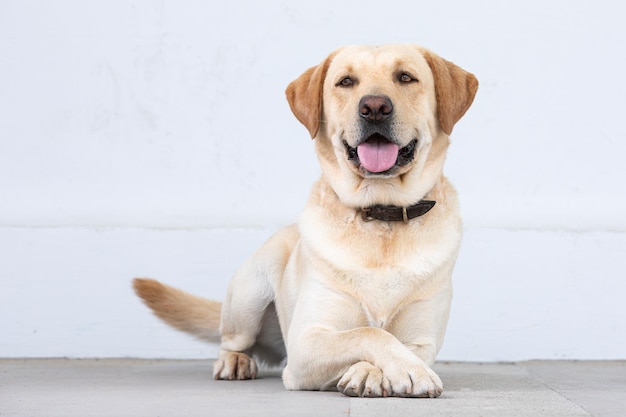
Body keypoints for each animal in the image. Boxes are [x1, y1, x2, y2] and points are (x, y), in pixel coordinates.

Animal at [134, 44, 476, 398]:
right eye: (346, 81)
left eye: (405, 77)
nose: (374, 107)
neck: (381, 215)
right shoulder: (305, 343)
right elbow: (369, 333)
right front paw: (403, 371)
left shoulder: (423, 341)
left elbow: (392, 341)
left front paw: (373, 372)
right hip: (249, 293)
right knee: (232, 340)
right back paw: (235, 361)